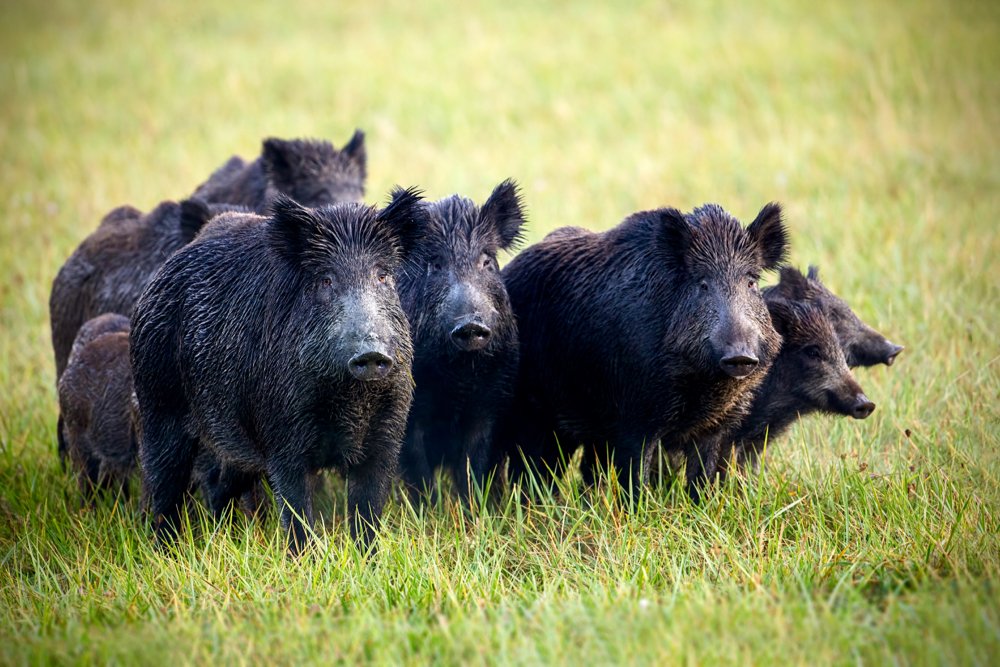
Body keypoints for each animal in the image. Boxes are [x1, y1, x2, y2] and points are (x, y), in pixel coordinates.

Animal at [130, 190, 427, 553]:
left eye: (382, 276)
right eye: (325, 280)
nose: (371, 352)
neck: (350, 399)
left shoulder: (386, 437)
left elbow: (367, 515)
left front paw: (367, 559)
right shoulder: (283, 438)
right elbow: (298, 514)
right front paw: (305, 560)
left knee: (218, 484)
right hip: (158, 405)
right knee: (164, 487)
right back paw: (166, 550)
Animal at [396, 180, 526, 502]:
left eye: (487, 260)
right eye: (435, 264)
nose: (471, 324)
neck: (459, 376)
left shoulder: (491, 402)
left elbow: (474, 464)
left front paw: (476, 508)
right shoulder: (411, 413)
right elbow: (418, 470)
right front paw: (429, 510)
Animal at [498, 202, 788, 497]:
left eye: (751, 282)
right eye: (702, 284)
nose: (740, 355)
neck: (703, 383)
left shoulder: (715, 426)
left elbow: (702, 480)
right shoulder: (635, 417)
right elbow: (636, 479)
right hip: (533, 412)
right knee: (532, 469)